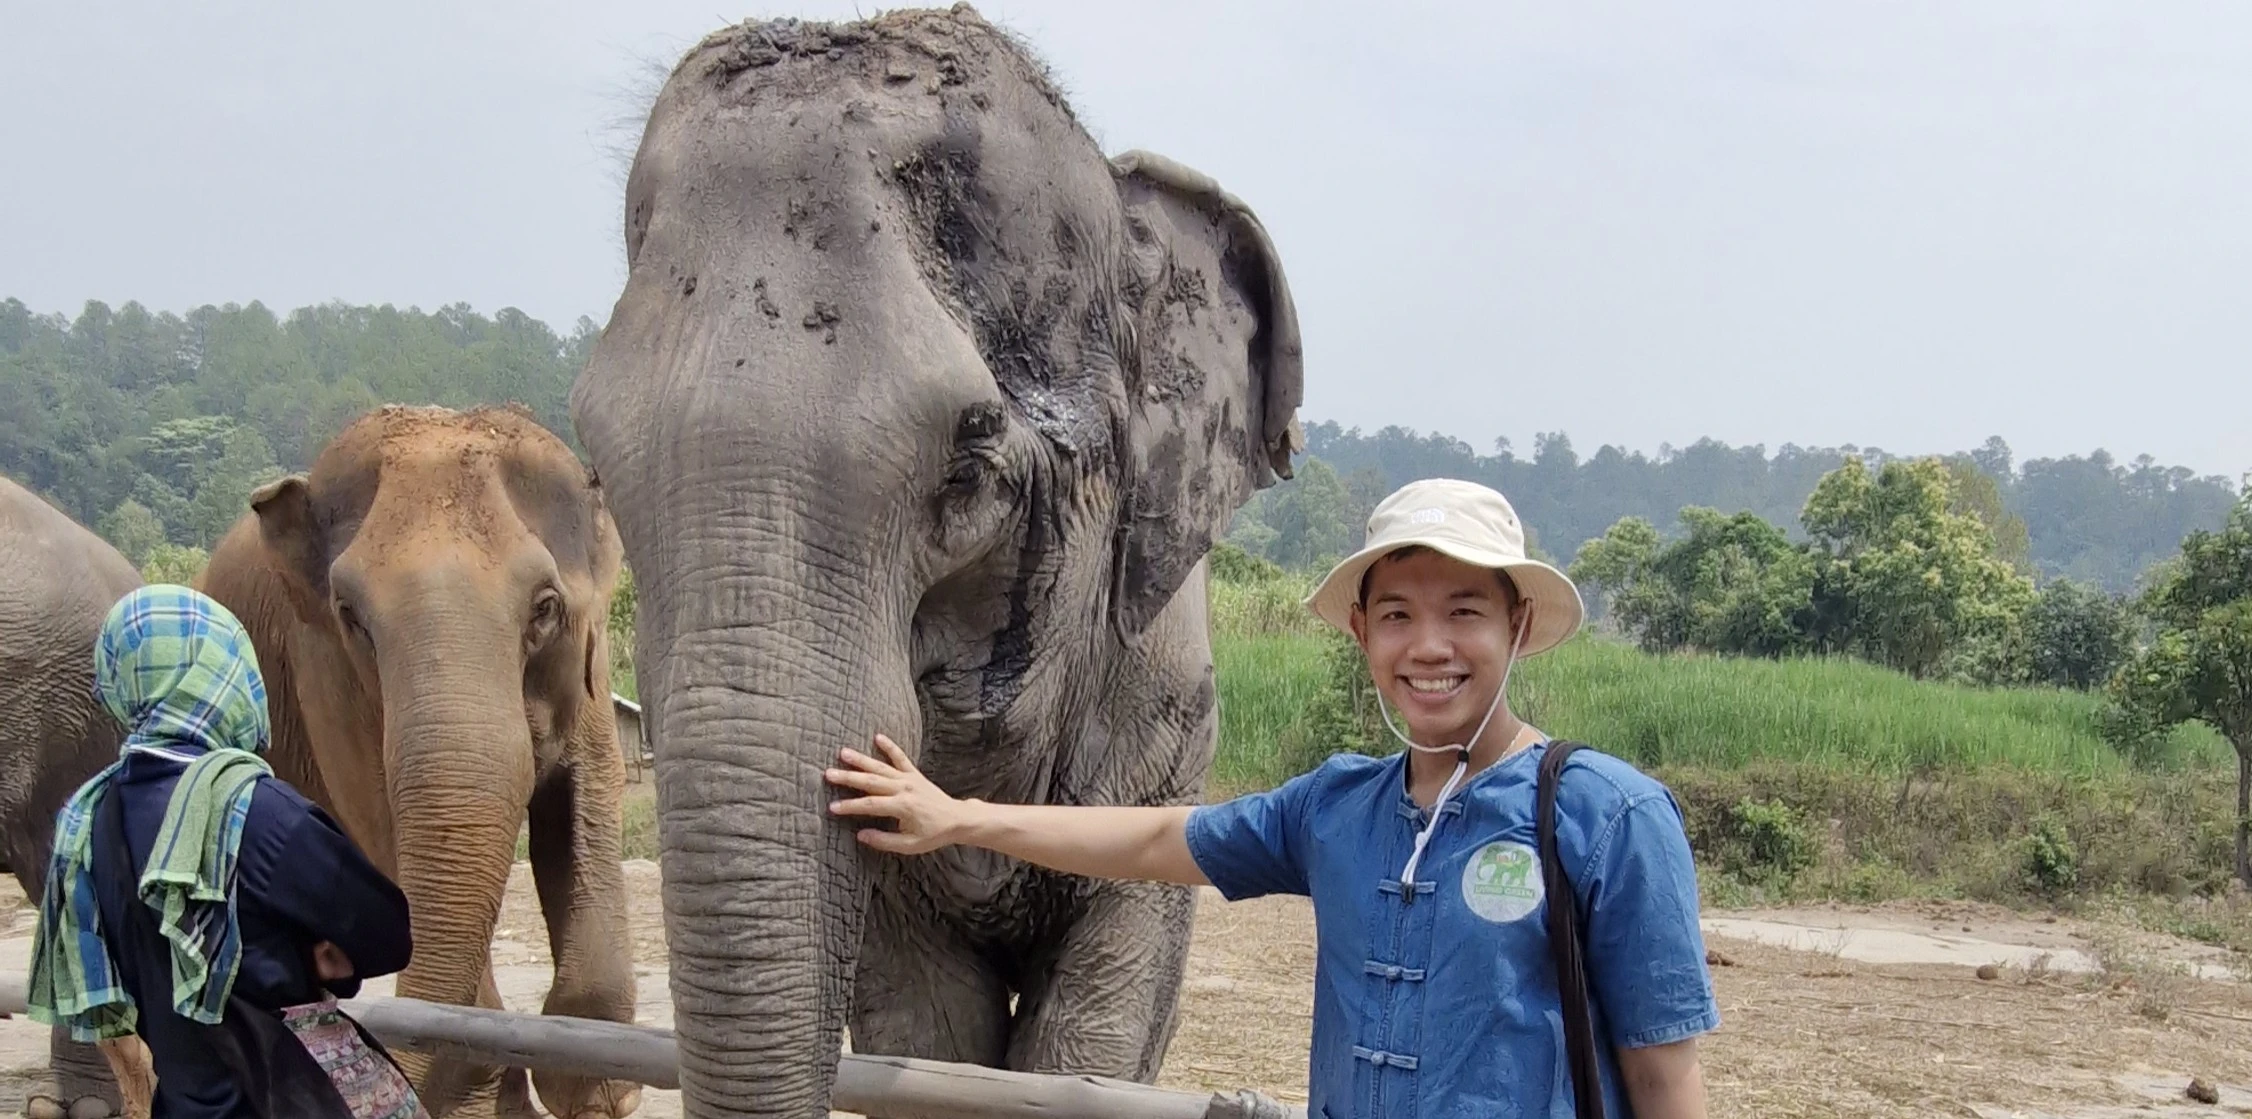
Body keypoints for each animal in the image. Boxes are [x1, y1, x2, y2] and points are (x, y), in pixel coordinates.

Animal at [183, 403, 642, 1119]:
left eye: (545, 608)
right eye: (350, 615)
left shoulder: (589, 672)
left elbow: (584, 801)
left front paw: (593, 1086)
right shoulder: (324, 677)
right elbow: (386, 828)